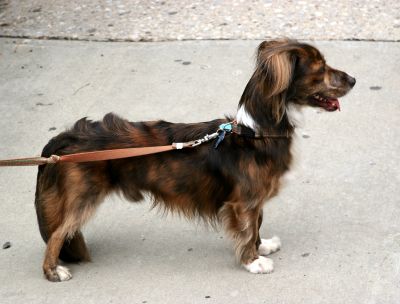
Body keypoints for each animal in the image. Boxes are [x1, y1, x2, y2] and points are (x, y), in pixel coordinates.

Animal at [32, 39, 354, 282]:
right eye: (321, 69)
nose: (353, 80)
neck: (254, 131)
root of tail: (66, 138)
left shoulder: (254, 200)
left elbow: (258, 224)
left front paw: (263, 247)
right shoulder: (243, 203)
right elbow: (248, 228)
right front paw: (252, 261)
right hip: (83, 197)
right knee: (58, 233)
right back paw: (53, 271)